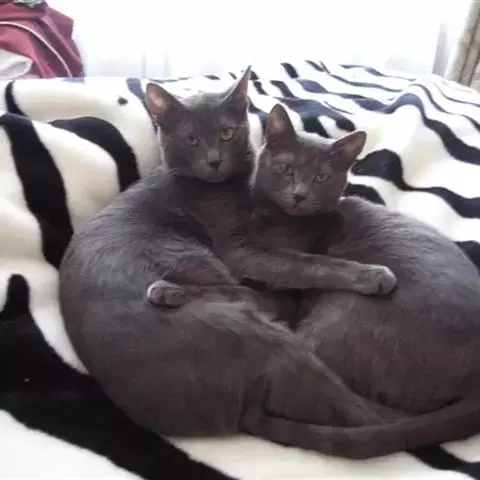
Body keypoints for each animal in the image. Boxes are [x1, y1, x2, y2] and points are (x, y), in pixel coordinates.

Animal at [58, 69, 403, 458]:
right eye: (191, 139)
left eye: (226, 133)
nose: (214, 160)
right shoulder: (240, 249)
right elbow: (306, 263)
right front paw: (371, 275)